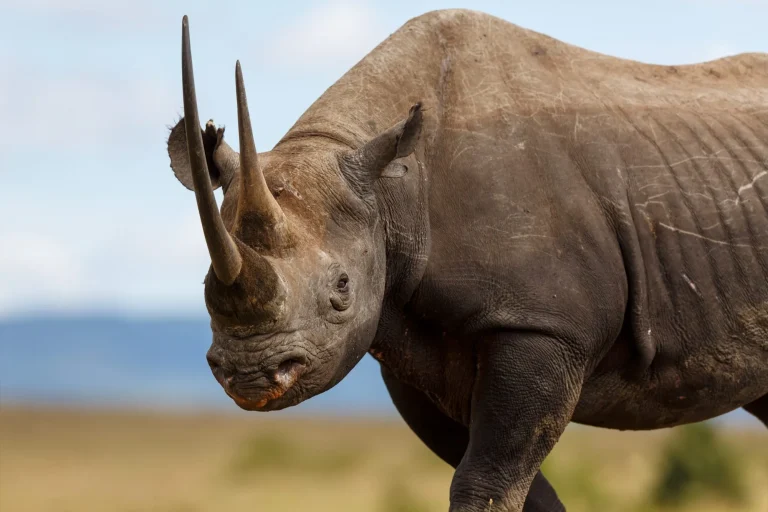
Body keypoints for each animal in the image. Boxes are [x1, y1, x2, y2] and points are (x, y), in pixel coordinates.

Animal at [167, 9, 768, 512]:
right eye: (203, 287)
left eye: (342, 289)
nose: (249, 375)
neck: (390, 189)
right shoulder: (409, 344)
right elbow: (506, 480)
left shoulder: (543, 325)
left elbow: (488, 479)